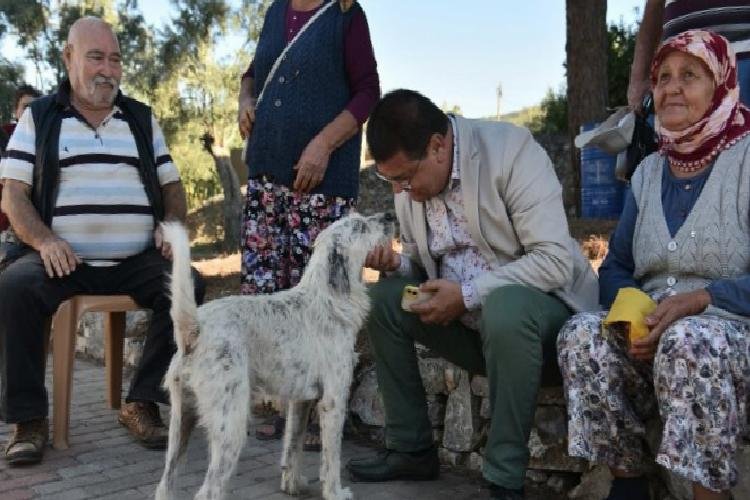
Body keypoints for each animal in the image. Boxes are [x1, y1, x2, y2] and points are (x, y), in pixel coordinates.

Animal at [156, 212, 396, 500]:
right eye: (360, 226)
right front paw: (334, 492)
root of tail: (194, 329)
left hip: (181, 423)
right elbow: (331, 460)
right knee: (209, 491)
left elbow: (293, 447)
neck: (328, 298)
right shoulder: (333, 402)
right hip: (231, 427)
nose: (390, 216)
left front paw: (293, 485)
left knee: (164, 484)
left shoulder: (301, 402)